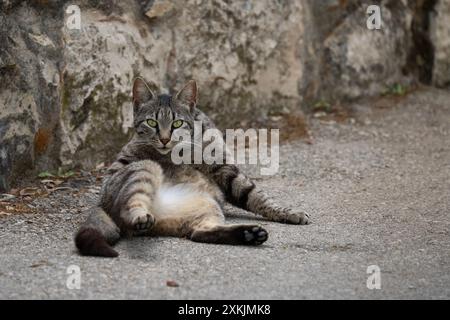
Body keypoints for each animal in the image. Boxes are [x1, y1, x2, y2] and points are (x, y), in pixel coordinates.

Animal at [76, 77, 310, 258]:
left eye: (177, 123)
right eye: (152, 123)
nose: (164, 139)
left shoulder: (225, 169)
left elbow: (256, 196)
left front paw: (287, 212)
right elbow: (255, 194)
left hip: (207, 207)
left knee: (199, 233)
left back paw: (249, 234)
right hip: (143, 171)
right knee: (133, 207)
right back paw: (141, 217)